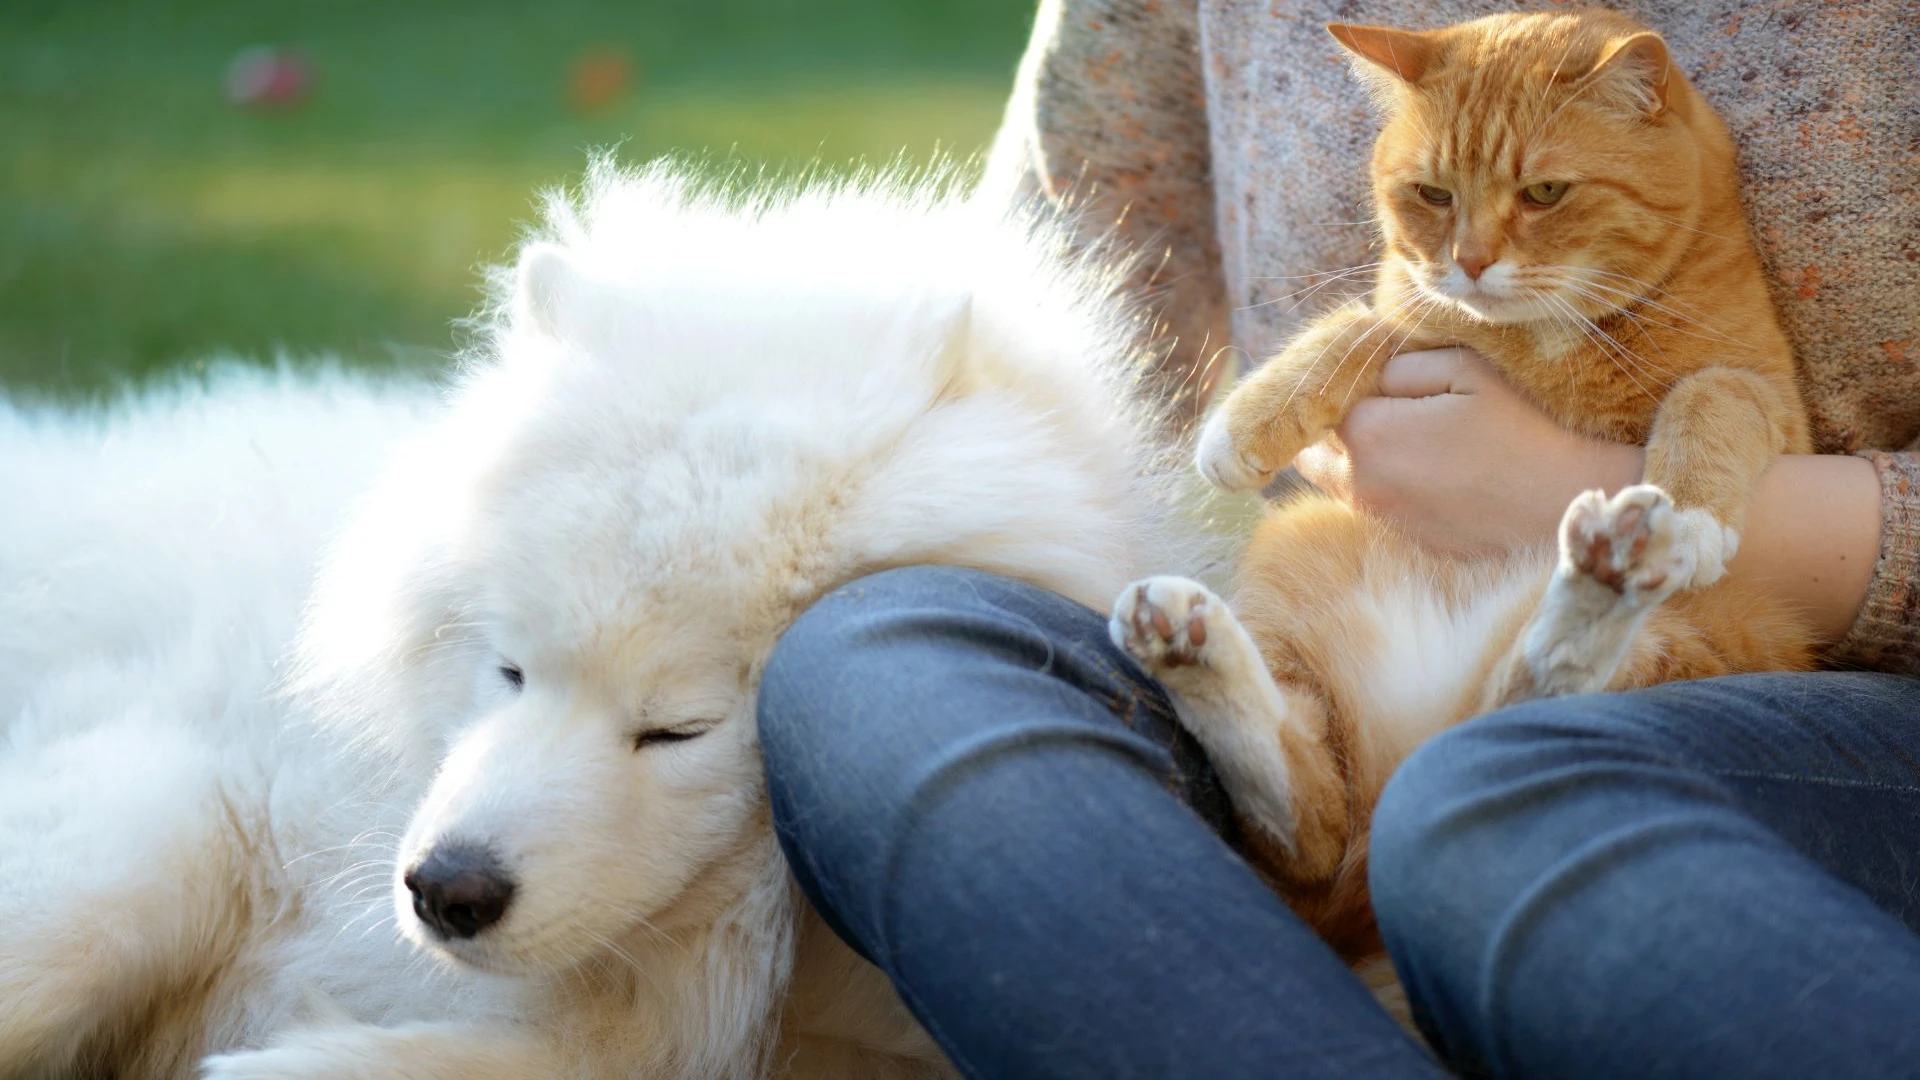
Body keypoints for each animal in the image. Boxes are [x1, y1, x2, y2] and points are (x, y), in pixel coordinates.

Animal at [1113, 8, 1812, 968]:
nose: (1472, 262)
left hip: (1687, 636)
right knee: (1311, 818)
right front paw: (1247, 419)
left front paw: (1688, 512)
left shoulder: (1772, 401)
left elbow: (1707, 395)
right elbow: (1363, 326)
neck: (1543, 342)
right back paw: (1189, 645)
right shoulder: (1418, 314)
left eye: (1546, 192)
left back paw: (1610, 567)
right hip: (1304, 552)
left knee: (1515, 706)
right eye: (1433, 195)